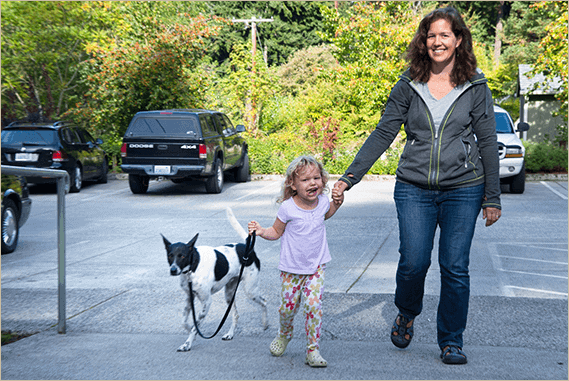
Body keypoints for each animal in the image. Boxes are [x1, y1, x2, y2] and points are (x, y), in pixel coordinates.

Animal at [162, 208, 268, 350]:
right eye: (170, 255)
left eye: (182, 256)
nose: (173, 270)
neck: (193, 267)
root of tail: (248, 248)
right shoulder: (190, 297)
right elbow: (184, 321)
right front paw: (189, 329)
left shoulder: (206, 301)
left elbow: (196, 326)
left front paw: (187, 344)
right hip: (229, 294)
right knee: (235, 314)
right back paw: (230, 334)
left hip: (250, 290)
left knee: (264, 302)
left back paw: (265, 323)